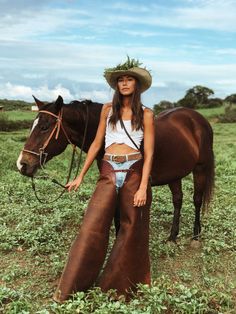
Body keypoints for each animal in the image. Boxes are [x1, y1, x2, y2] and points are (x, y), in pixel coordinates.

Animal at [17, 94, 215, 242]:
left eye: (44, 127)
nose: (22, 164)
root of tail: (198, 119)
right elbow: (117, 216)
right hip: (175, 173)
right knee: (178, 200)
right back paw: (173, 236)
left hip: (200, 169)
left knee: (197, 200)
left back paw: (196, 236)